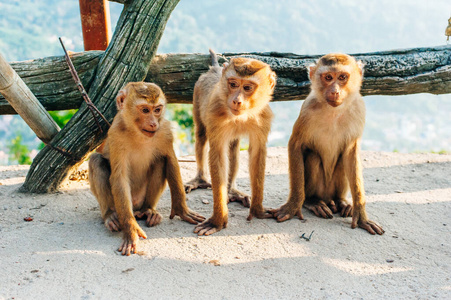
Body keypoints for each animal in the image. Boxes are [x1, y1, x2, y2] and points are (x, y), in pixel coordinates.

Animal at [89, 81, 206, 254]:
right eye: (145, 110)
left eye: (157, 110)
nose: (153, 123)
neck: (138, 133)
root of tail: (136, 207)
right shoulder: (116, 134)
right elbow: (119, 177)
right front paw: (131, 230)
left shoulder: (164, 130)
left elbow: (170, 160)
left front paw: (181, 209)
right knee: (96, 160)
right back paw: (110, 215)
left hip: (142, 199)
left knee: (160, 160)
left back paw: (149, 211)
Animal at [185, 49, 278, 237]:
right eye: (233, 84)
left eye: (247, 88)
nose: (237, 100)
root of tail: (214, 70)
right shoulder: (215, 114)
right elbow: (218, 155)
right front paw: (218, 220)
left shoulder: (263, 118)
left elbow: (257, 153)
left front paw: (257, 209)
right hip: (196, 95)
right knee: (201, 135)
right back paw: (200, 179)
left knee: (233, 147)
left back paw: (231, 191)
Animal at [272, 54, 384, 237]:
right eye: (328, 77)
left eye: (342, 77)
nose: (334, 91)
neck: (334, 111)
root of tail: (327, 197)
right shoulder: (307, 109)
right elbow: (296, 145)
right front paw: (294, 205)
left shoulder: (359, 109)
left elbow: (351, 153)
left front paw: (361, 216)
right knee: (313, 157)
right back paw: (313, 201)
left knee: (342, 160)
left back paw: (341, 202)